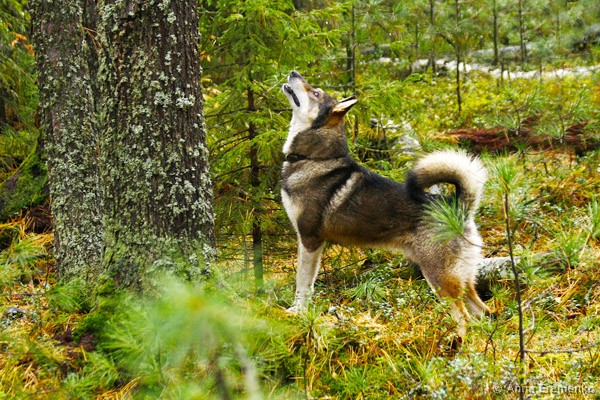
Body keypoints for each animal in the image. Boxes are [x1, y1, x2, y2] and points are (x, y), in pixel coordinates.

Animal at [280, 71, 490, 338]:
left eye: (315, 92)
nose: (293, 73)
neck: (314, 158)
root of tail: (458, 207)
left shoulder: (310, 240)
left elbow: (303, 284)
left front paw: (297, 312)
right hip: (463, 276)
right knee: (482, 311)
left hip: (439, 276)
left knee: (463, 318)